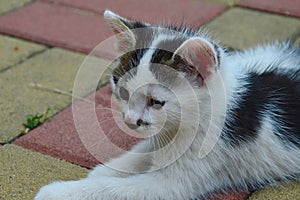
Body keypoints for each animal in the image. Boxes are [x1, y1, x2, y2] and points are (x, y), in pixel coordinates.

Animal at [35, 9, 300, 200]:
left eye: (156, 102)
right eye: (123, 92)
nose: (129, 120)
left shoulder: (172, 183)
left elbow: (114, 189)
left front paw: (59, 192)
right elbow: (140, 152)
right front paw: (104, 170)